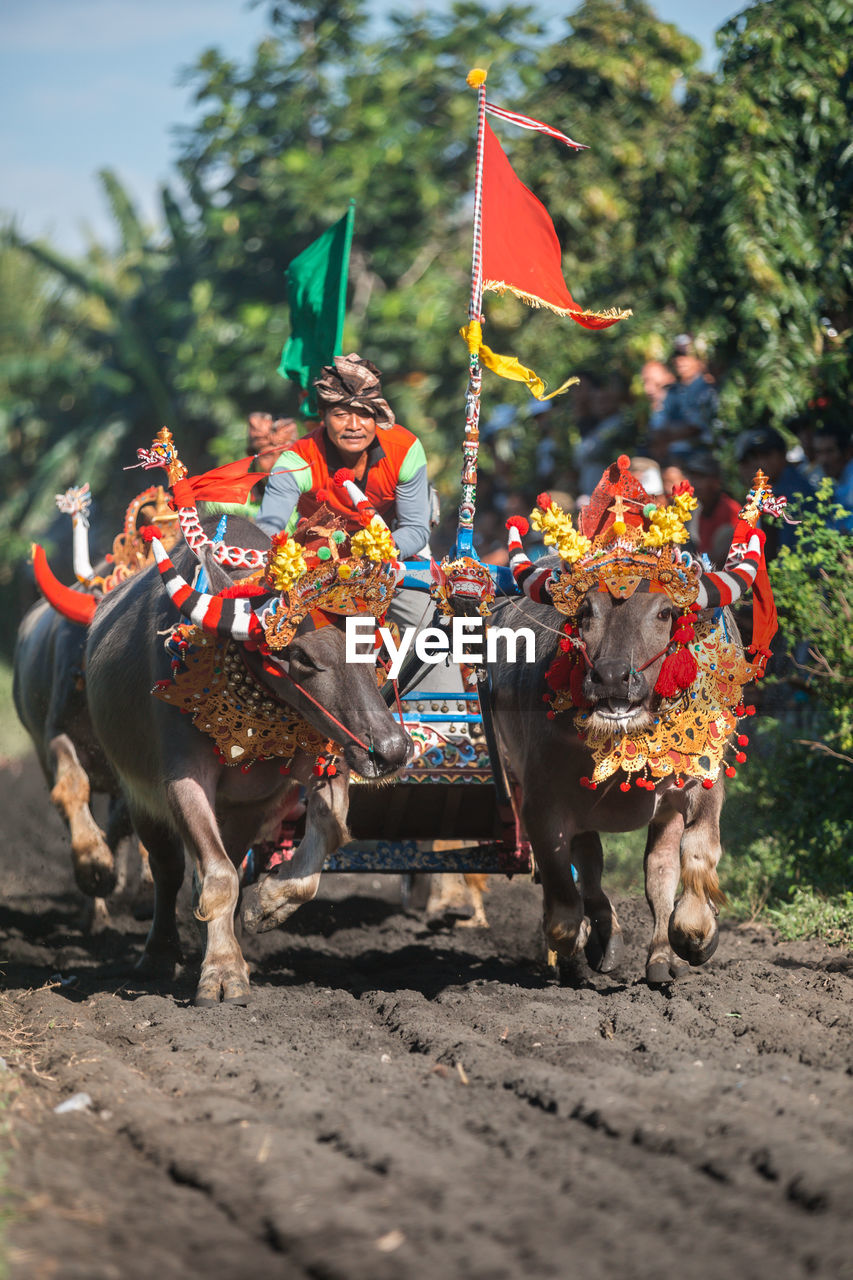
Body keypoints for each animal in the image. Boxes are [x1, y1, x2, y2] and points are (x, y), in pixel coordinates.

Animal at [84, 514, 409, 1003]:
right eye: (301, 656)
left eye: (369, 643)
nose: (391, 750)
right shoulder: (181, 778)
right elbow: (217, 876)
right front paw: (222, 974)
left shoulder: (320, 752)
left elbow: (332, 829)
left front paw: (266, 905)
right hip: (138, 795)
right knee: (168, 868)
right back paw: (159, 955)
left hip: (244, 811)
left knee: (224, 863)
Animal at [489, 576, 732, 983]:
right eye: (586, 610)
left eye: (664, 612)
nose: (612, 677)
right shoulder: (541, 804)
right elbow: (562, 906)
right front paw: (580, 939)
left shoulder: (701, 780)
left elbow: (698, 848)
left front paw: (697, 932)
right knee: (589, 865)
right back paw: (605, 938)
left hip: (662, 813)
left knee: (657, 870)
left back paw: (660, 959)